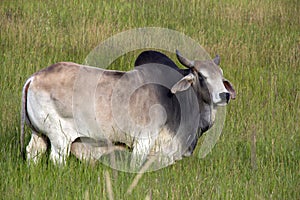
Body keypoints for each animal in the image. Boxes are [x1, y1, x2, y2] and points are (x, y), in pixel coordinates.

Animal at [21, 50, 237, 167]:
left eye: (221, 75)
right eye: (201, 76)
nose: (224, 95)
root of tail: (34, 77)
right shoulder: (143, 141)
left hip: (38, 133)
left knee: (33, 152)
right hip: (61, 138)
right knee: (57, 159)